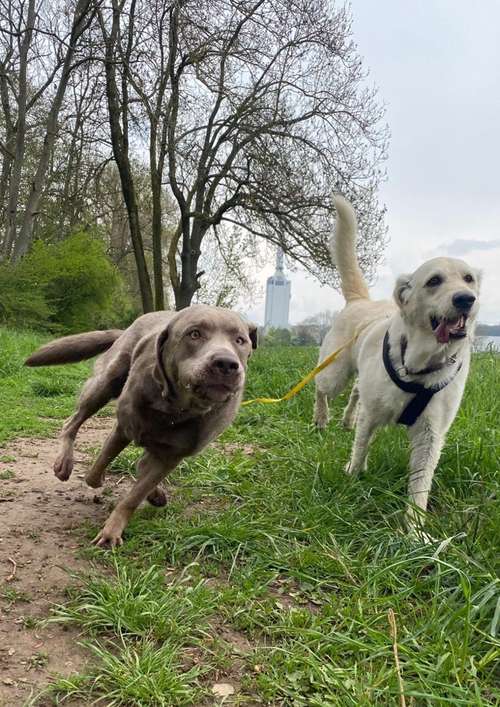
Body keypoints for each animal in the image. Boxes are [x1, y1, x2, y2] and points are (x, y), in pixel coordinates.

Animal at [24, 306, 256, 548]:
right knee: (72, 422)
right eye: (194, 334)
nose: (227, 363)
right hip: (104, 384)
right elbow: (97, 470)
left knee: (142, 463)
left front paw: (112, 530)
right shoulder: (123, 428)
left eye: (240, 340)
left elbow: (134, 495)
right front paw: (99, 481)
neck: (175, 410)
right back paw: (64, 462)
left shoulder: (171, 456)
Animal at [314, 196, 482, 532]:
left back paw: (346, 419)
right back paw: (322, 418)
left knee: (355, 393)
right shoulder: (373, 413)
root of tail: (360, 301)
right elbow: (361, 445)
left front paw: (414, 529)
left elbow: (420, 483)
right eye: (434, 281)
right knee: (321, 388)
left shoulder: (431, 434)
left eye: (469, 278)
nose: (465, 299)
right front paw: (352, 474)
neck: (419, 363)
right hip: (334, 372)